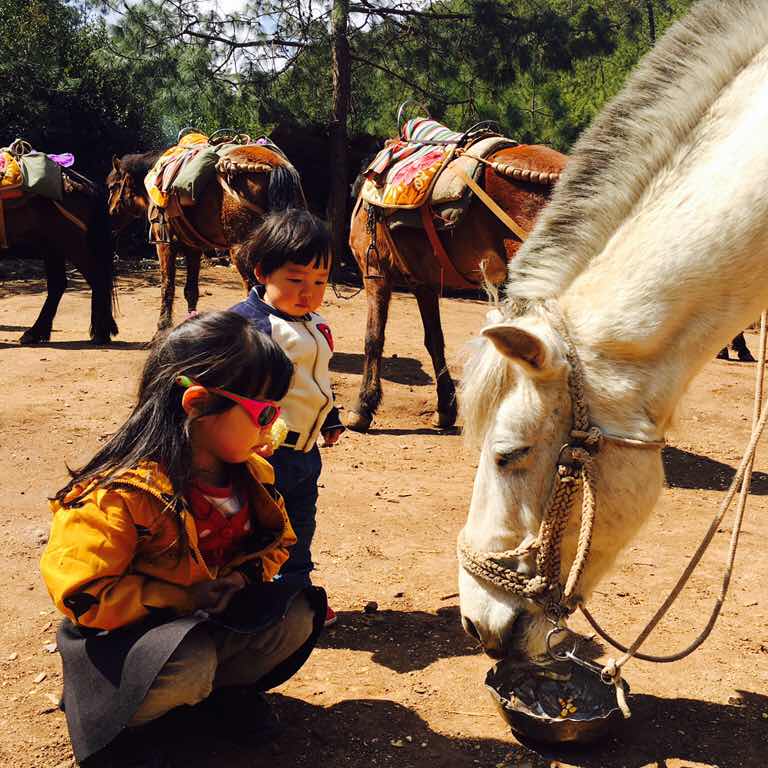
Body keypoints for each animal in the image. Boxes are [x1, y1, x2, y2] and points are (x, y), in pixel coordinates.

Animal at [0, 139, 117, 344]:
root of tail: (86, 184)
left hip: (70, 242)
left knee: (96, 278)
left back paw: (101, 334)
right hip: (52, 244)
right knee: (58, 284)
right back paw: (36, 332)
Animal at [108, 131, 306, 330]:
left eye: (111, 186)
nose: (110, 216)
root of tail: (276, 166)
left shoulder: (164, 243)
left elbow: (167, 285)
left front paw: (162, 328)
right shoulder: (193, 247)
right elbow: (191, 290)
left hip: (242, 252)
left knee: (255, 290)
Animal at [346, 109, 564, 432]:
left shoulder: (375, 271)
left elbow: (373, 338)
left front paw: (363, 406)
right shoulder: (423, 282)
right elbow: (434, 340)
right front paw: (446, 408)